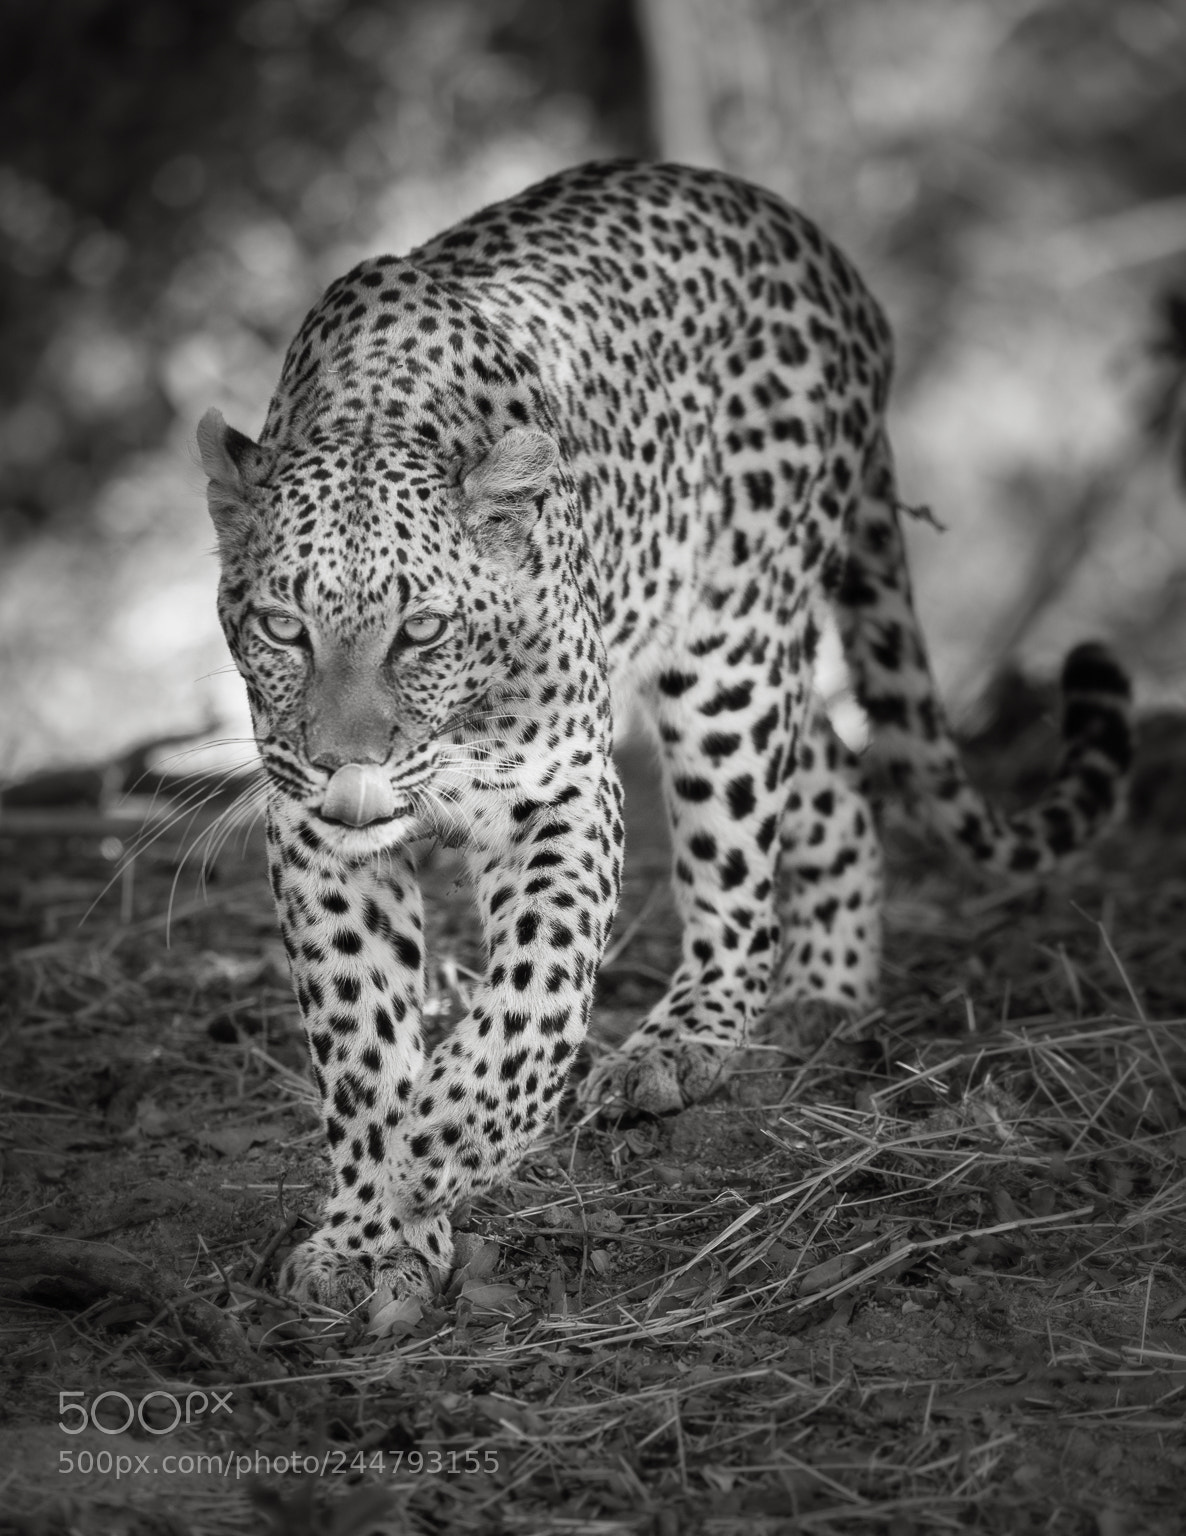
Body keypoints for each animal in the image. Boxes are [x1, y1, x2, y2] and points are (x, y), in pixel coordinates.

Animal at [196, 160, 1131, 1311]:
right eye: (285, 627)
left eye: (422, 631)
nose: (346, 762)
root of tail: (807, 237)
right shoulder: (315, 837)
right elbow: (361, 1038)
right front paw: (369, 1231)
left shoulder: (561, 792)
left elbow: (535, 997)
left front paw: (442, 1145)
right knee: (830, 778)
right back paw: (825, 993)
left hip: (730, 656)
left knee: (736, 868)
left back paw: (681, 1044)